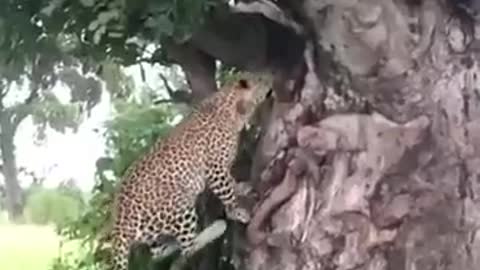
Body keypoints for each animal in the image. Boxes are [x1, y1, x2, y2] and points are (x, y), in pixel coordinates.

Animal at [109, 71, 274, 270]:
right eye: (261, 79)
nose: (272, 79)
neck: (236, 109)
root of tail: (118, 223)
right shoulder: (215, 168)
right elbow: (227, 193)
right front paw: (236, 211)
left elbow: (231, 184)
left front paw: (241, 187)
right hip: (180, 203)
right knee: (188, 248)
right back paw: (216, 228)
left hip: (153, 231)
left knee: (160, 252)